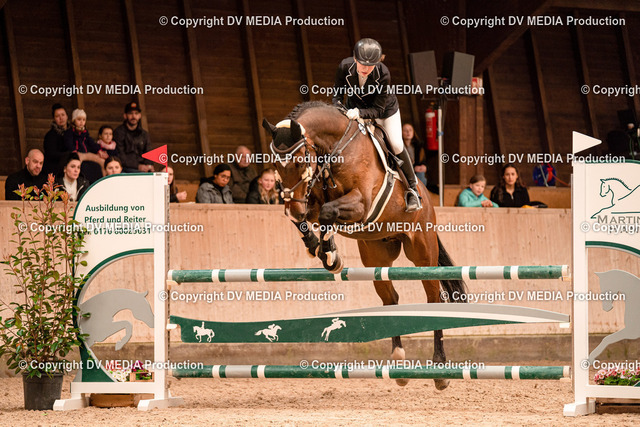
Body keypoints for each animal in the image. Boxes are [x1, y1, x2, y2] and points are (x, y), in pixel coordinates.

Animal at [262, 101, 466, 389]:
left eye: (300, 160)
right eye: (275, 166)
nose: (293, 207)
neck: (335, 148)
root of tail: (428, 197)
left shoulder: (361, 204)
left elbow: (327, 212)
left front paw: (329, 254)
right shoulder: (312, 202)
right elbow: (313, 217)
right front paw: (319, 248)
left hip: (422, 252)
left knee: (434, 298)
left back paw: (439, 370)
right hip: (376, 257)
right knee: (391, 299)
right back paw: (399, 362)